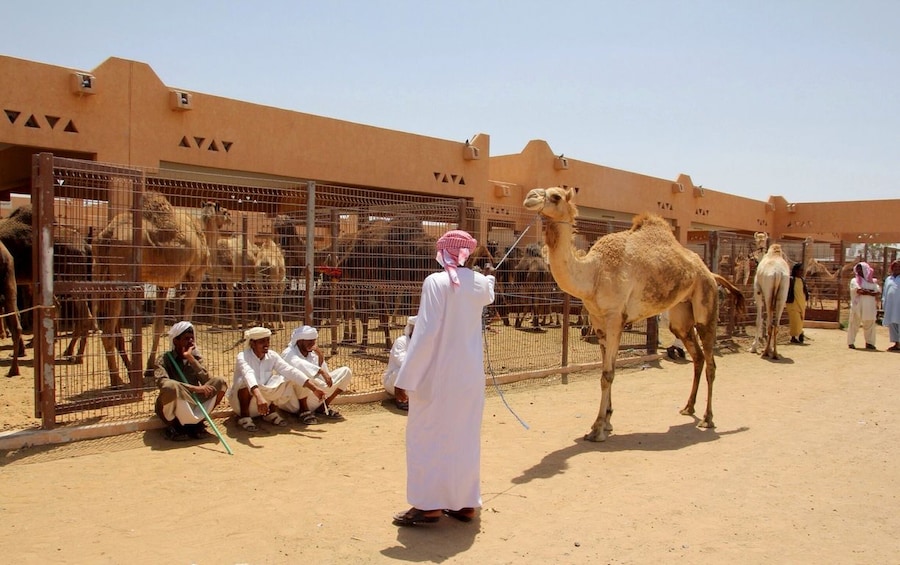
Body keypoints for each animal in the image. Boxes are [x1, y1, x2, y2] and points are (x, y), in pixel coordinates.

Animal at [92, 192, 225, 386]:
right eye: (225, 212)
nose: (230, 220)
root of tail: (106, 235)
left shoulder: (163, 284)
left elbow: (159, 325)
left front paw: (150, 368)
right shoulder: (196, 276)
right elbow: (186, 320)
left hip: (102, 272)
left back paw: (129, 373)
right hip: (121, 277)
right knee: (108, 332)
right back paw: (117, 380)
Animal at [520, 187, 744, 442]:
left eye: (556, 196)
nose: (530, 197)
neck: (593, 273)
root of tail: (711, 273)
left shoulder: (615, 317)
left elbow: (607, 374)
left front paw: (597, 429)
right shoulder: (598, 321)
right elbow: (608, 370)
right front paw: (607, 421)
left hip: (706, 305)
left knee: (711, 362)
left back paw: (707, 419)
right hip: (681, 315)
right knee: (696, 356)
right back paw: (688, 408)